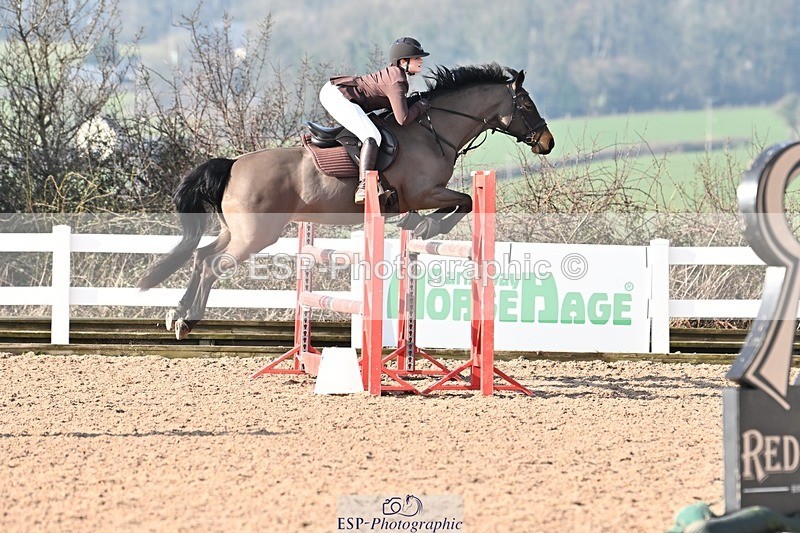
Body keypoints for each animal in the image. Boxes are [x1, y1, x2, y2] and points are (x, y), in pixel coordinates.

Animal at [137, 63, 554, 339]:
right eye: (527, 104)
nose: (547, 142)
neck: (434, 130)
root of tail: (233, 163)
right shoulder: (425, 191)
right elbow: (463, 201)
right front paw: (426, 225)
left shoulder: (423, 195)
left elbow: (457, 203)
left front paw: (416, 224)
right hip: (254, 236)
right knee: (213, 266)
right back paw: (188, 320)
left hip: (235, 231)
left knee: (201, 256)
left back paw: (177, 314)